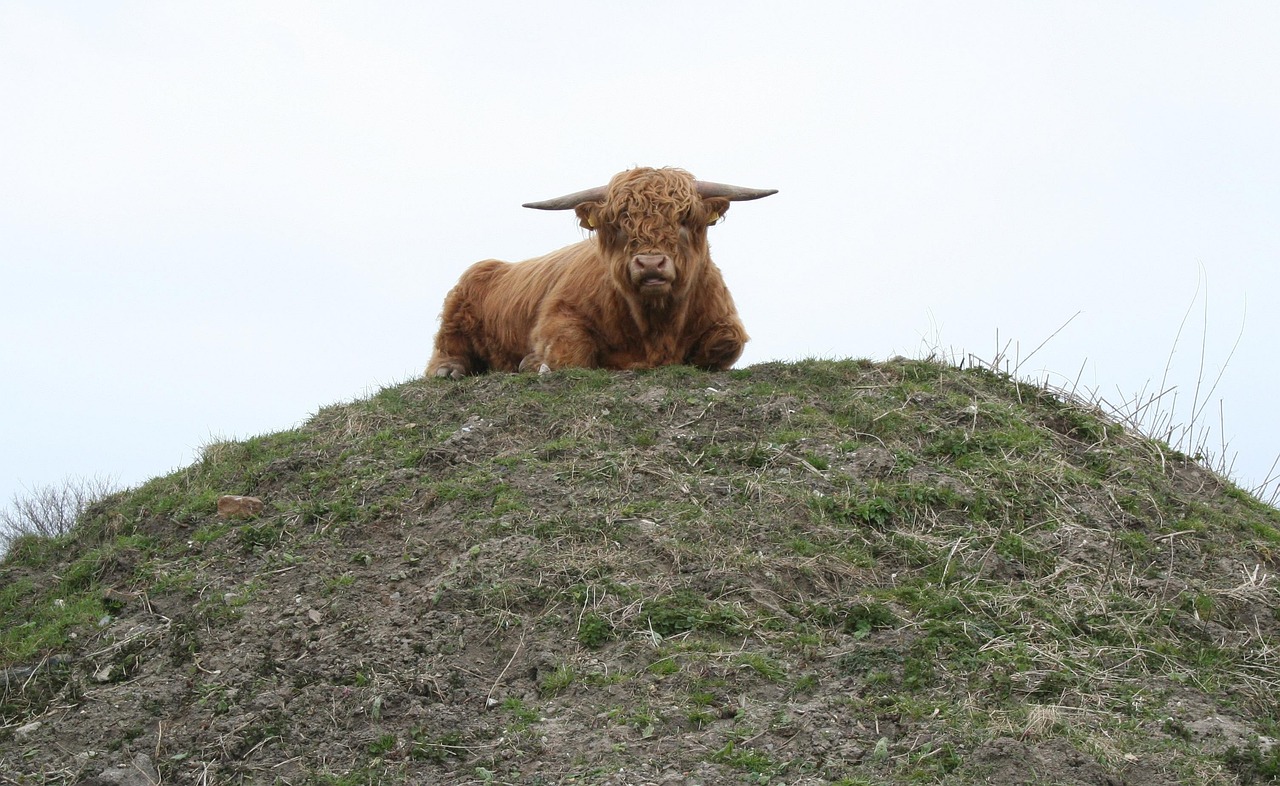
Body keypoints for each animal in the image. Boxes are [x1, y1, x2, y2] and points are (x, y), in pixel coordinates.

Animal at [426, 167, 776, 379]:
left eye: (684, 218)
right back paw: (450, 370)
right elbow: (570, 350)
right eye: (619, 224)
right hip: (458, 309)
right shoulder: (558, 315)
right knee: (444, 352)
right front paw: (533, 363)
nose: (650, 264)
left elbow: (726, 344)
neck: (656, 324)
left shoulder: (727, 322)